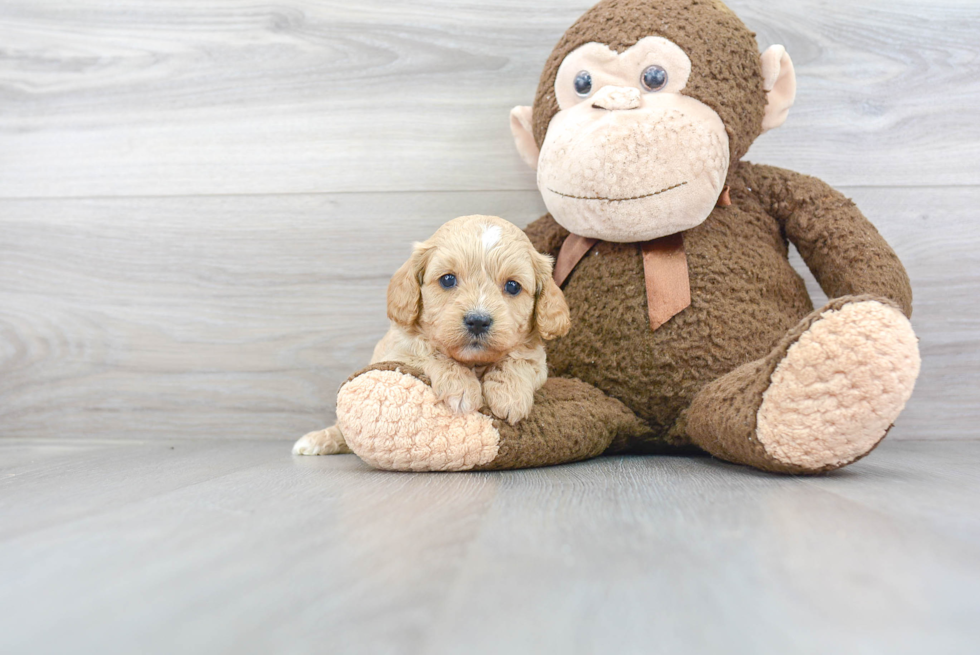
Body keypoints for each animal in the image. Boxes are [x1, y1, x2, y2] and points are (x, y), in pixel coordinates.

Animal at [290, 215, 572, 456]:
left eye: (513, 286)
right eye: (447, 280)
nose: (478, 321)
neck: (474, 362)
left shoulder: (537, 360)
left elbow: (517, 360)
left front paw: (510, 396)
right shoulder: (400, 351)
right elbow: (430, 352)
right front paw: (462, 387)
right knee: (341, 429)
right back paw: (316, 440)